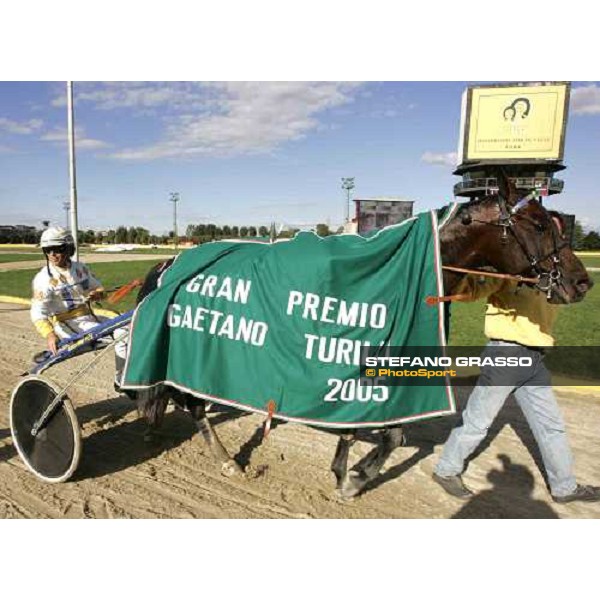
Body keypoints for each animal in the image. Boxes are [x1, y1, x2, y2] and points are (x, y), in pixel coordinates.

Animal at [125, 171, 592, 500]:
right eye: (537, 224)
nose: (581, 282)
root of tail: (172, 263)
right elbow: (391, 434)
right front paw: (354, 478)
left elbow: (374, 427)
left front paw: (342, 470)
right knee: (191, 403)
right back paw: (222, 458)